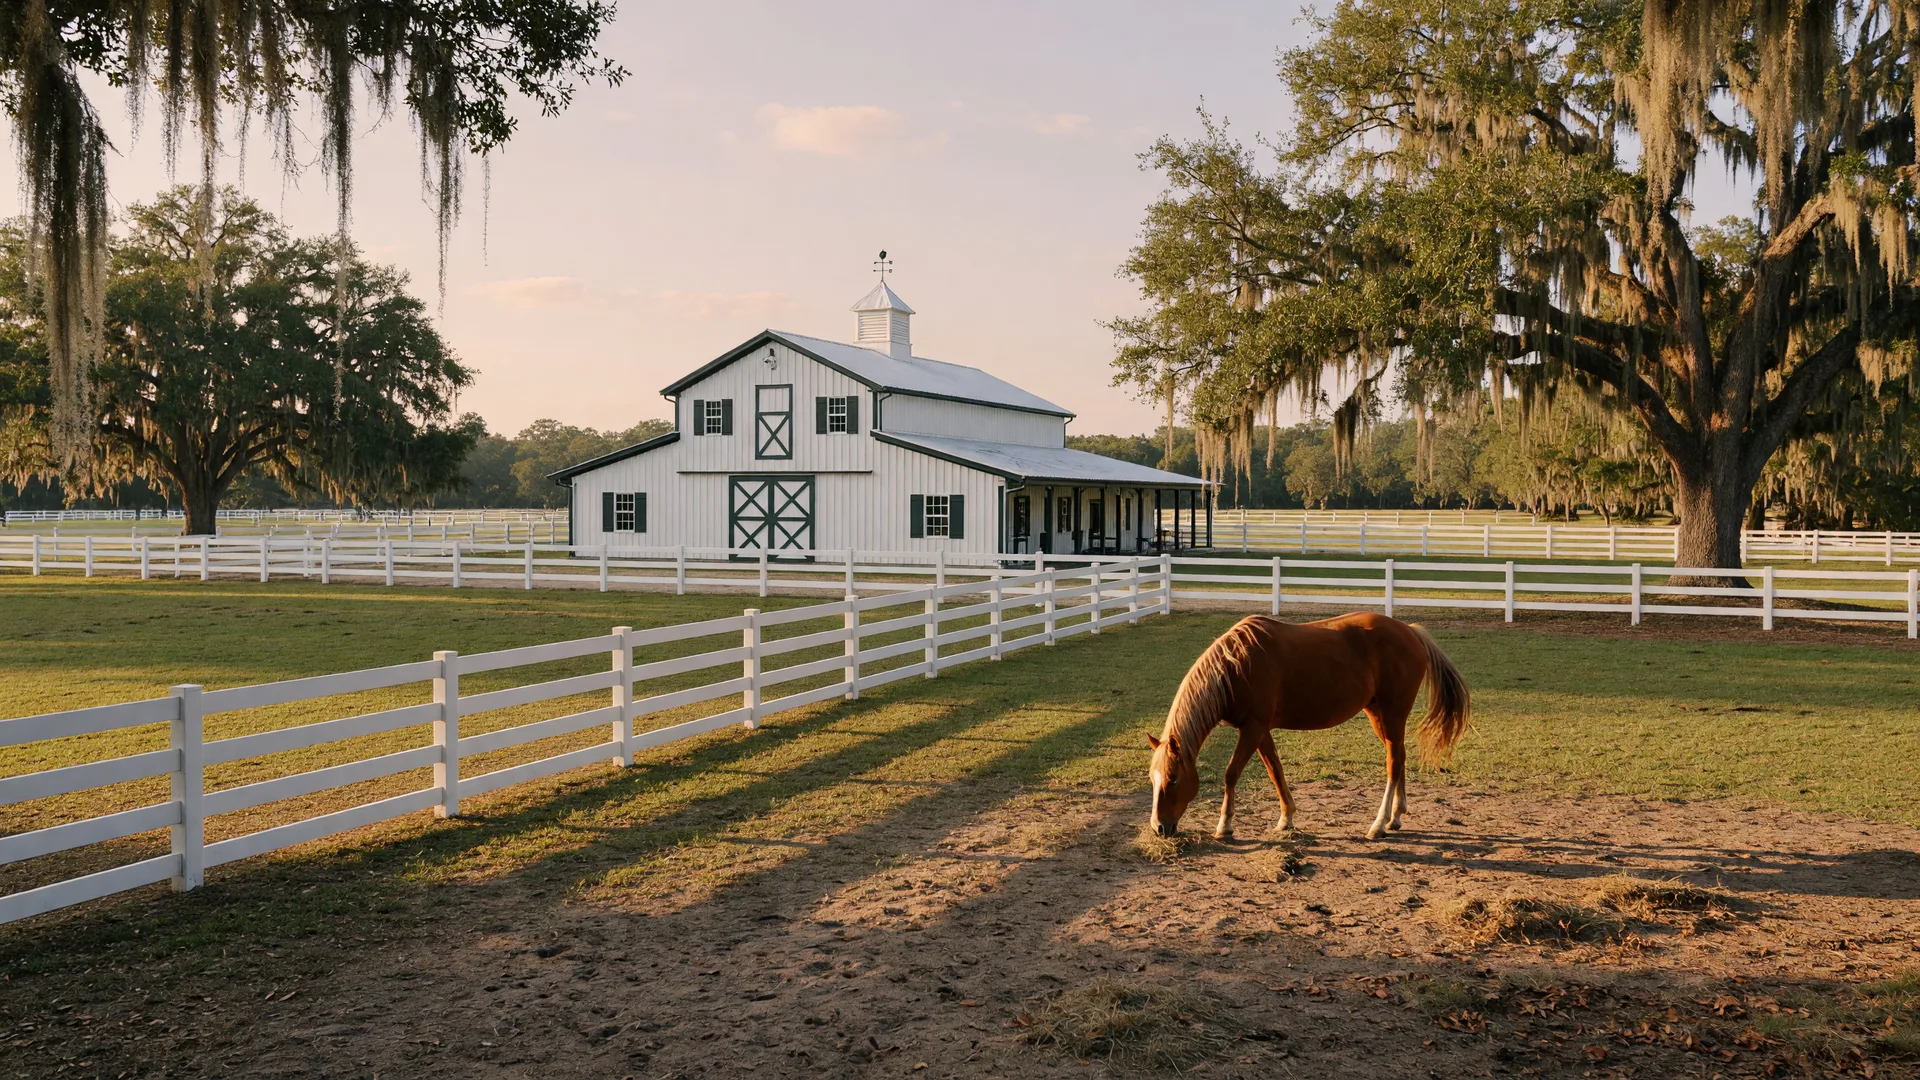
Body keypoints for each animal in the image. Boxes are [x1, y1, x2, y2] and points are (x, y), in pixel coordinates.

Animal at [1146, 612, 1471, 841]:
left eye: (1173, 779)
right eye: (1152, 779)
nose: (1159, 827)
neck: (1235, 666)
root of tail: (1410, 631)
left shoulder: (1252, 728)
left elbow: (1231, 774)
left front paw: (1224, 826)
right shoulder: (1260, 731)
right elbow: (1275, 770)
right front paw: (1286, 818)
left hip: (1391, 715)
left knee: (1393, 764)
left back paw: (1378, 825)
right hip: (1379, 716)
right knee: (1400, 757)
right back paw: (1396, 817)